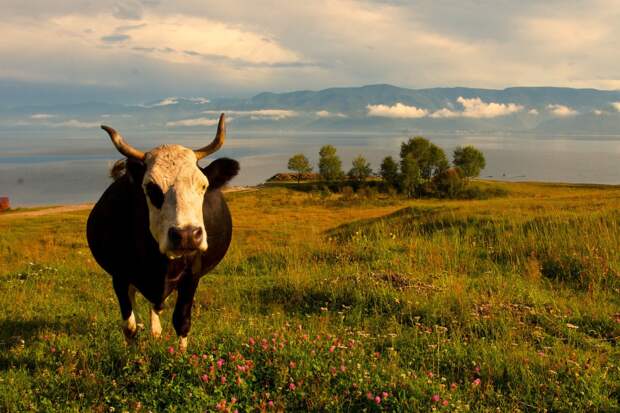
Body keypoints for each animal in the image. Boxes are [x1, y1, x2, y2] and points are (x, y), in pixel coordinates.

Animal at [87, 113, 240, 350]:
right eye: (150, 188)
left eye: (203, 186)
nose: (187, 235)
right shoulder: (119, 275)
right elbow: (129, 325)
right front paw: (131, 354)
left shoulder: (192, 275)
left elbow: (182, 320)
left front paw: (181, 355)